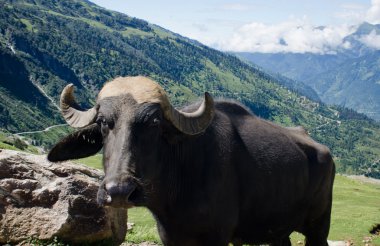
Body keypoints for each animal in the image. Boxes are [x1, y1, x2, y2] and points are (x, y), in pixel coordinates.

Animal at [48, 76, 336, 245]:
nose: (119, 191)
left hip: (318, 227)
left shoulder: (217, 237)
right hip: (277, 230)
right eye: (103, 123)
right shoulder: (171, 238)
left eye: (154, 123)